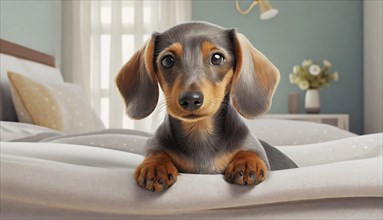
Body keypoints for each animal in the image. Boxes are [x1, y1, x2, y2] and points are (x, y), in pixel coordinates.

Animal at [115, 21, 298, 192]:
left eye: (217, 58)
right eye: (167, 60)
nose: (190, 99)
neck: (199, 131)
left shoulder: (253, 146)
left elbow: (250, 151)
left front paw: (247, 163)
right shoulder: (155, 146)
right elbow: (157, 152)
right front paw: (154, 166)